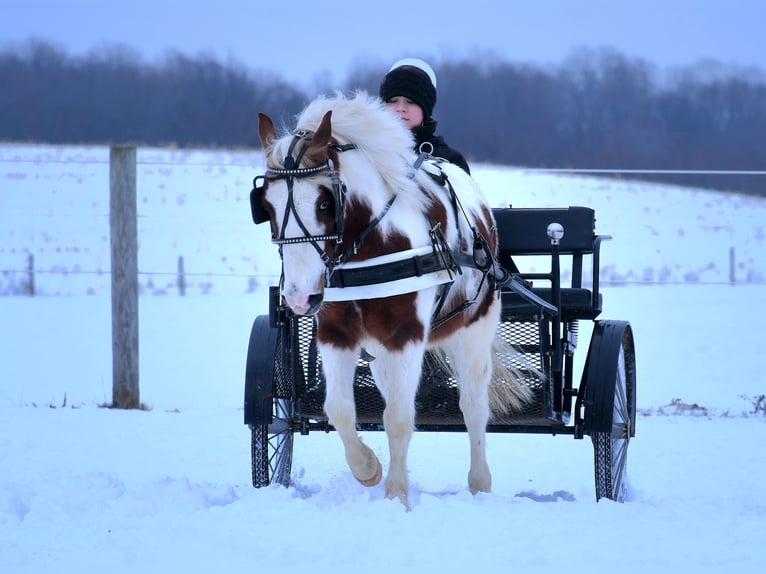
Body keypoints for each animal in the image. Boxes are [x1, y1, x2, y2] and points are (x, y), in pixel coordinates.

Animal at [255, 91, 532, 508]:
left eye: (324, 203)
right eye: (266, 206)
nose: (300, 297)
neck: (369, 245)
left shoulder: (406, 335)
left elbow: (399, 418)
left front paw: (397, 498)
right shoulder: (336, 333)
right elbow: (340, 409)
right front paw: (368, 469)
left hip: (472, 331)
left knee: (473, 407)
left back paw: (479, 484)